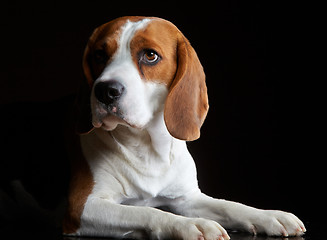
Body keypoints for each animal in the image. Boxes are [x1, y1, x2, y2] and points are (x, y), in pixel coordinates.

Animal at [62, 15, 308, 239]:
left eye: (150, 55)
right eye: (99, 55)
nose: (105, 91)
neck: (147, 146)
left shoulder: (188, 198)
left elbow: (229, 205)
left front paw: (269, 215)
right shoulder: (81, 207)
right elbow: (146, 212)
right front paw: (190, 224)